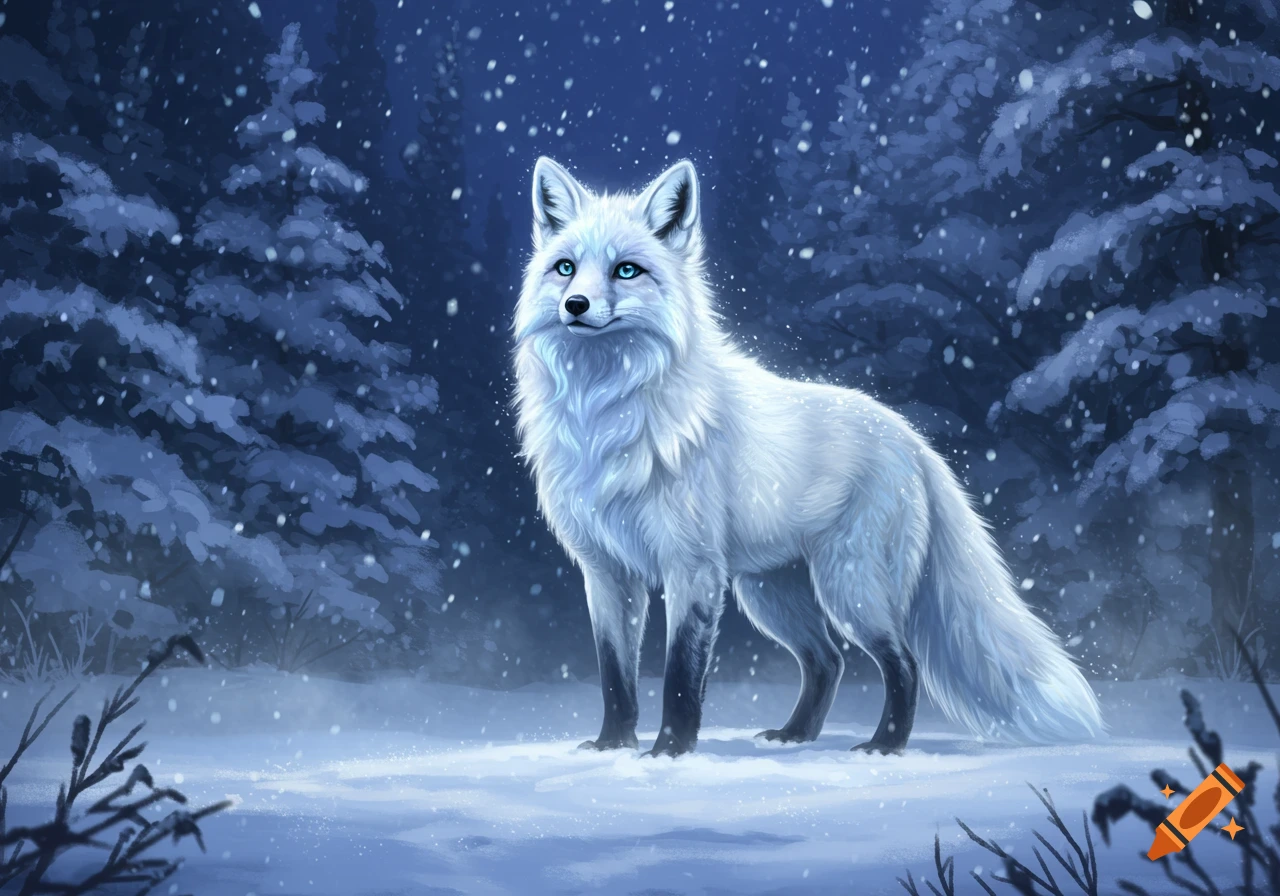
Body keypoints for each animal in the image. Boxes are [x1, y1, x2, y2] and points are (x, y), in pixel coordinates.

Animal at [512, 156, 1105, 757]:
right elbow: (615, 674)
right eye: (565, 268)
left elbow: (679, 675)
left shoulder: (691, 567)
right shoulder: (606, 572)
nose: (575, 306)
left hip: (849, 587)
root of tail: (912, 439)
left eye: (626, 271)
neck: (604, 413)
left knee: (901, 662)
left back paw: (884, 747)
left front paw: (670, 753)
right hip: (770, 595)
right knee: (829, 660)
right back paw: (795, 735)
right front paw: (613, 746)